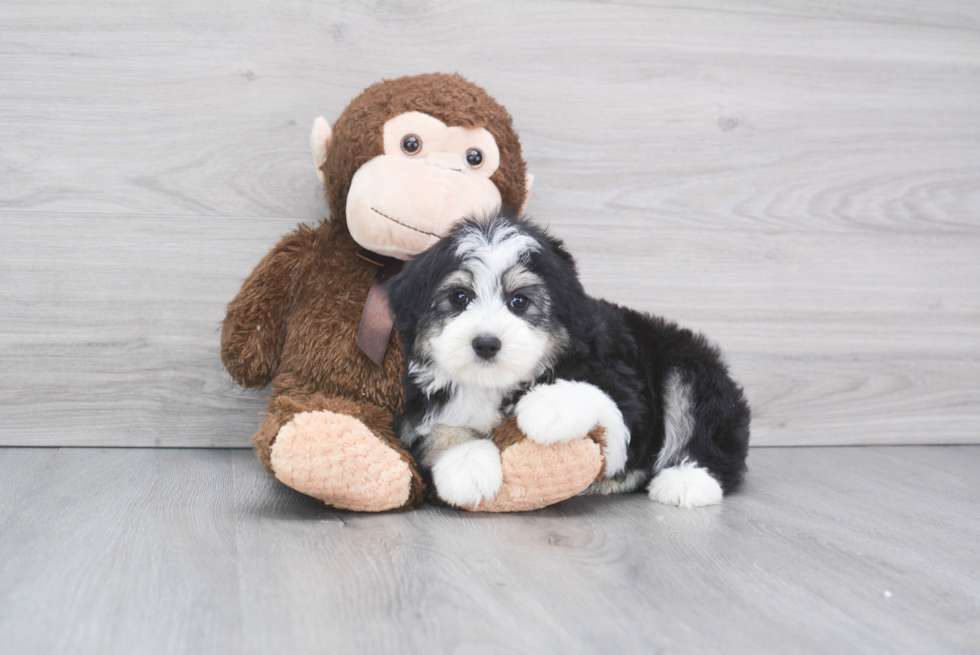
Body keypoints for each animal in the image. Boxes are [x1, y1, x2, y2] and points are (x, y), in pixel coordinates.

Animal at [384, 213, 752, 510]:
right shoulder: (418, 404)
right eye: (459, 298)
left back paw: (688, 481)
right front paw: (466, 466)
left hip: (688, 364)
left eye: (520, 302)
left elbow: (604, 401)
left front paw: (550, 406)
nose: (486, 343)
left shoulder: (627, 393)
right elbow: (437, 430)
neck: (496, 384)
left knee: (698, 420)